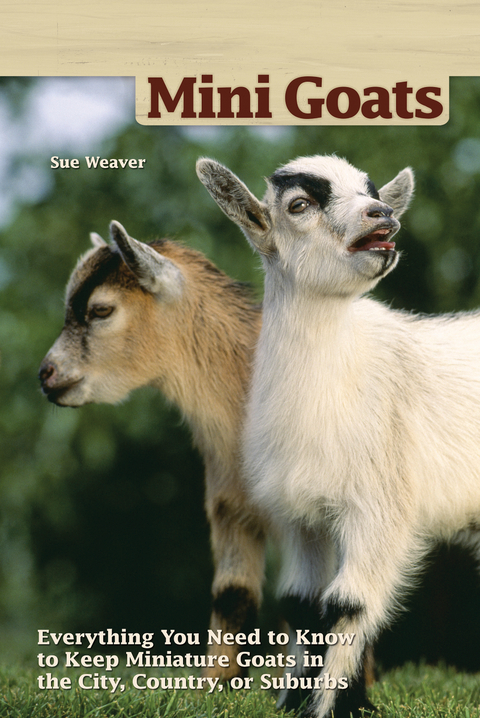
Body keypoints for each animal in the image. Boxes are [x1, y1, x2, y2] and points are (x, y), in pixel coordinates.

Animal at [197, 154, 480, 718]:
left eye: (373, 191)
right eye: (299, 205)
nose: (381, 214)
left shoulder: (379, 504)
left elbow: (347, 604)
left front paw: (332, 706)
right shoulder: (299, 513)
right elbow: (301, 603)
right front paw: (291, 699)